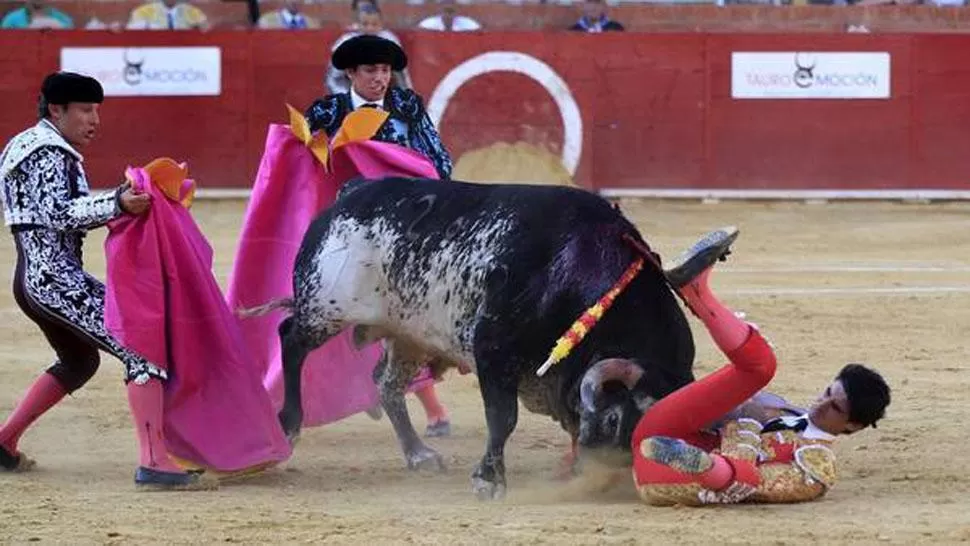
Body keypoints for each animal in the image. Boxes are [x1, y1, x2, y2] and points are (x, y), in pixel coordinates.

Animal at [270, 177, 696, 498]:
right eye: (613, 419)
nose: (604, 478)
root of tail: (352, 191)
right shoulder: (492, 349)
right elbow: (502, 417)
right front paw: (489, 480)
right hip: (325, 306)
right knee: (291, 341)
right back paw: (288, 425)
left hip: (409, 335)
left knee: (387, 385)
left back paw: (419, 455)